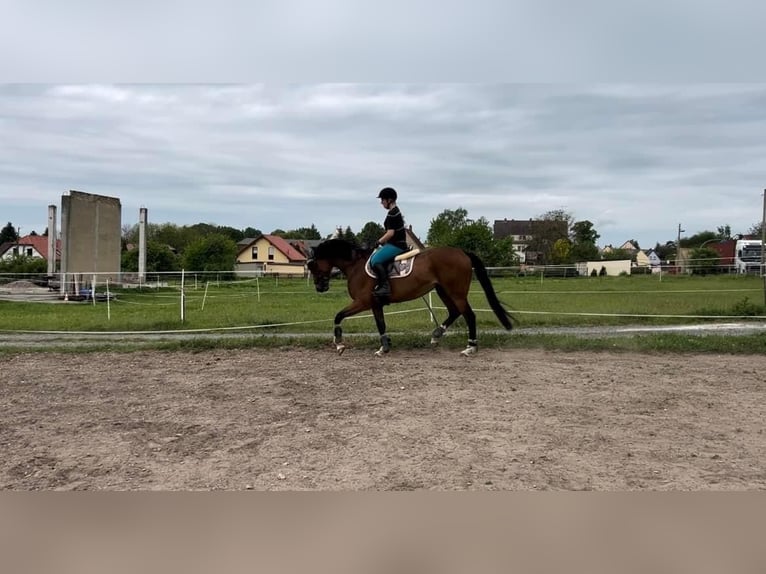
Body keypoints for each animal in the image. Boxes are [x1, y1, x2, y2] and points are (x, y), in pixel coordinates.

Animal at [308, 237, 516, 356]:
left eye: (313, 265)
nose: (320, 287)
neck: (355, 266)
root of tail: (461, 252)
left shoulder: (363, 302)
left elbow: (338, 316)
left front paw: (339, 345)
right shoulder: (375, 304)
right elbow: (381, 325)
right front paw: (384, 348)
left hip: (455, 292)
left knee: (469, 315)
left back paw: (470, 347)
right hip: (442, 290)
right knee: (454, 312)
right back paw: (436, 336)